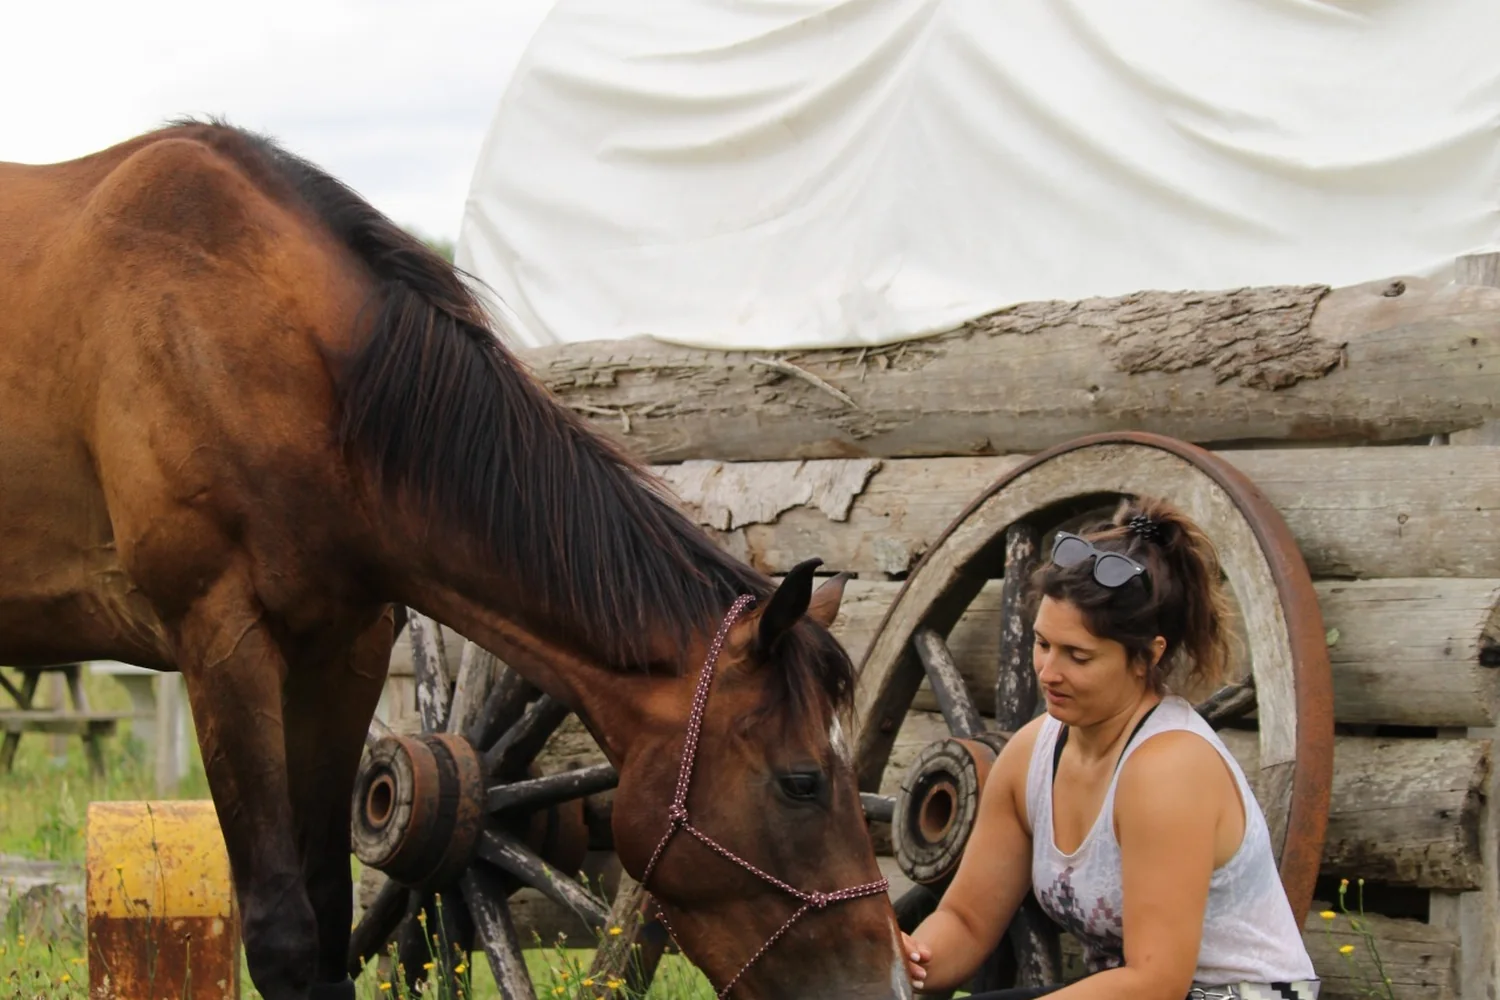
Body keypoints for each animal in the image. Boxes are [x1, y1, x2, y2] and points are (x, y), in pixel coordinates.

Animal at [0, 120, 910, 1000]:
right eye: (801, 781)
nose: (887, 986)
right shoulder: (223, 643)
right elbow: (286, 934)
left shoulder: (346, 650)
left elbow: (329, 918)